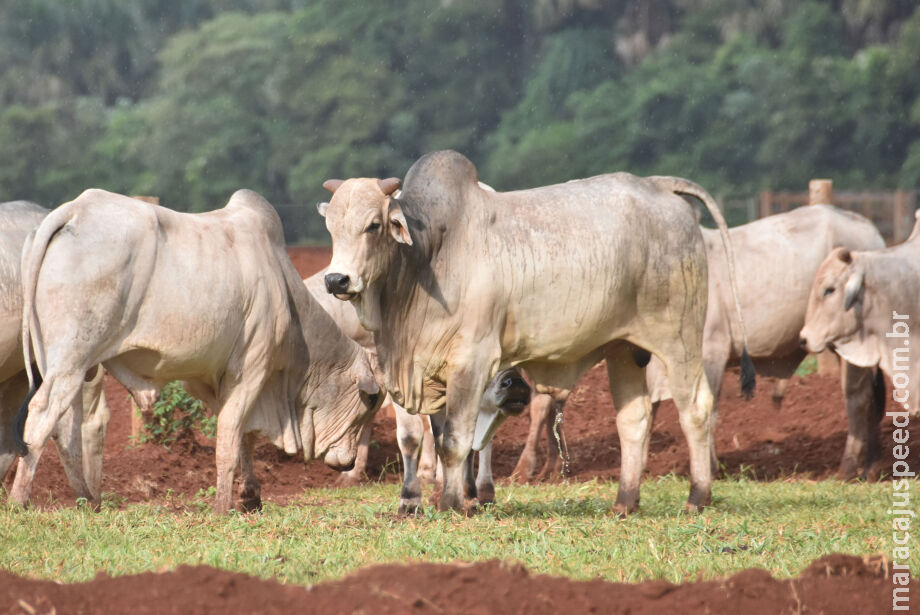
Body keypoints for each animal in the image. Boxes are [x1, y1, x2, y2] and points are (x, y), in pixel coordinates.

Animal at [644, 207, 888, 482]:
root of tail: (869, 228)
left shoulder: (711, 352)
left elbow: (708, 411)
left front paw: (711, 469)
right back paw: (869, 466)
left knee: (858, 399)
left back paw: (848, 468)